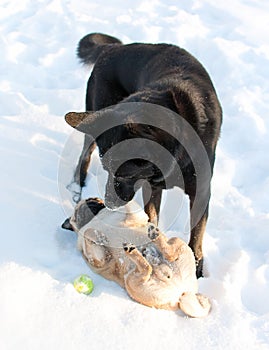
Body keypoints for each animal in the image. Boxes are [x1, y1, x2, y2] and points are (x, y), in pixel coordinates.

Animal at [62, 197, 209, 318]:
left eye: (92, 200)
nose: (92, 200)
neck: (95, 219)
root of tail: (182, 293)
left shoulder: (135, 214)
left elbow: (127, 206)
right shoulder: (99, 259)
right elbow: (88, 233)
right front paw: (99, 236)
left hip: (176, 243)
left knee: (167, 254)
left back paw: (150, 240)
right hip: (132, 282)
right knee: (149, 267)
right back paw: (137, 250)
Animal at [63, 33, 221, 278]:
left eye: (125, 175)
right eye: (107, 169)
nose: (108, 204)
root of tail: (112, 48)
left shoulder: (200, 191)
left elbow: (196, 234)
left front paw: (196, 269)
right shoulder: (150, 187)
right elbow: (152, 218)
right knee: (84, 154)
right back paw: (77, 185)